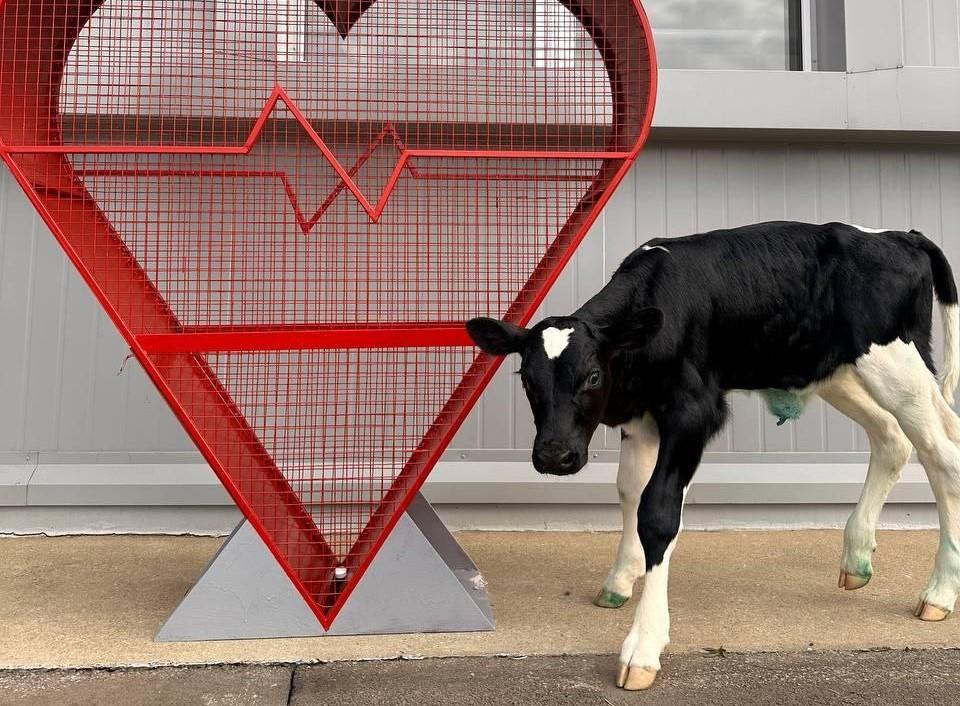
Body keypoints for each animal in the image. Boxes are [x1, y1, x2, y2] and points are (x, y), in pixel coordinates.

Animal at [464, 220, 960, 688]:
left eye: (591, 376)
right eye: (527, 379)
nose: (553, 455)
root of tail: (899, 235)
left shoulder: (692, 411)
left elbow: (658, 512)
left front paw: (643, 646)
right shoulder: (642, 418)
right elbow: (629, 492)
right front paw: (622, 577)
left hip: (896, 363)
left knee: (943, 456)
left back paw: (939, 593)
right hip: (838, 370)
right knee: (893, 438)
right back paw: (857, 558)